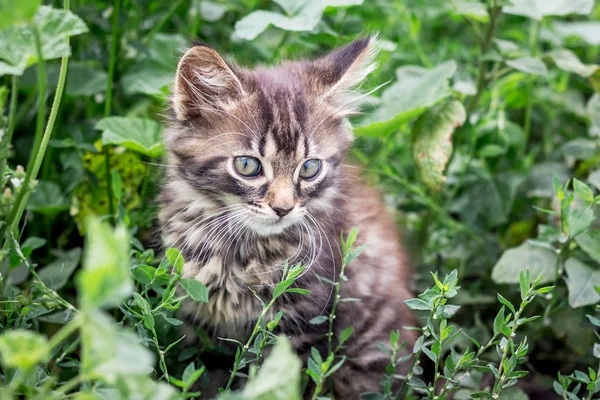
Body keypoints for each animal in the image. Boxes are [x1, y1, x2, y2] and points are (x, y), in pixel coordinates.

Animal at [157, 36, 414, 396]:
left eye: (309, 168)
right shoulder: (199, 325)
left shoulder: (301, 328)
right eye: (247, 165)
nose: (283, 208)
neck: (240, 251)